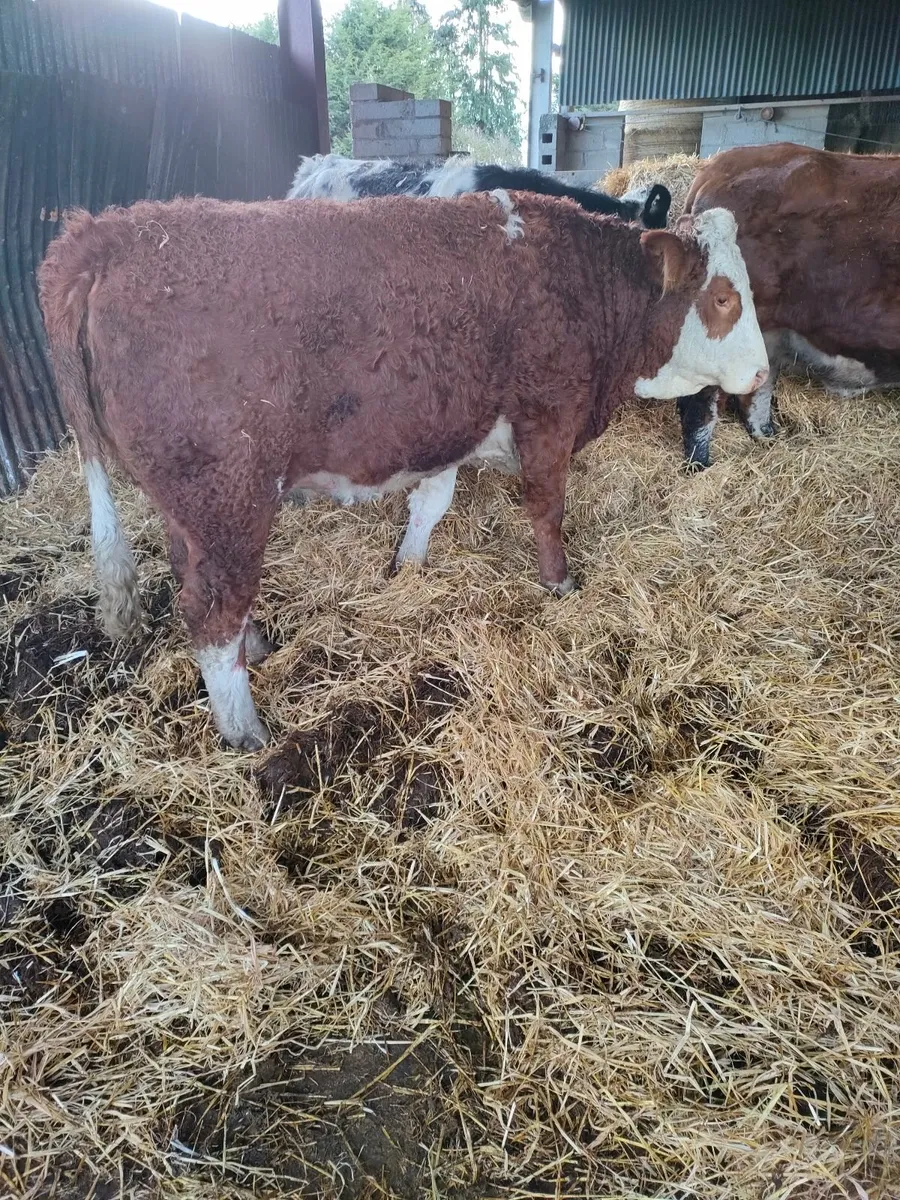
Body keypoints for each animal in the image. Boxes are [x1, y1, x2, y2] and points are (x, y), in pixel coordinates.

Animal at [39, 190, 767, 750]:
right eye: (724, 300)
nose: (763, 374)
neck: (583, 288)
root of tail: (109, 233)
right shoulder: (548, 418)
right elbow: (547, 510)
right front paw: (560, 585)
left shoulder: (451, 430)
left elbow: (431, 503)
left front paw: (408, 567)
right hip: (228, 493)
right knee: (210, 611)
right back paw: (245, 730)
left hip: (192, 503)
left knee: (190, 573)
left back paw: (259, 646)